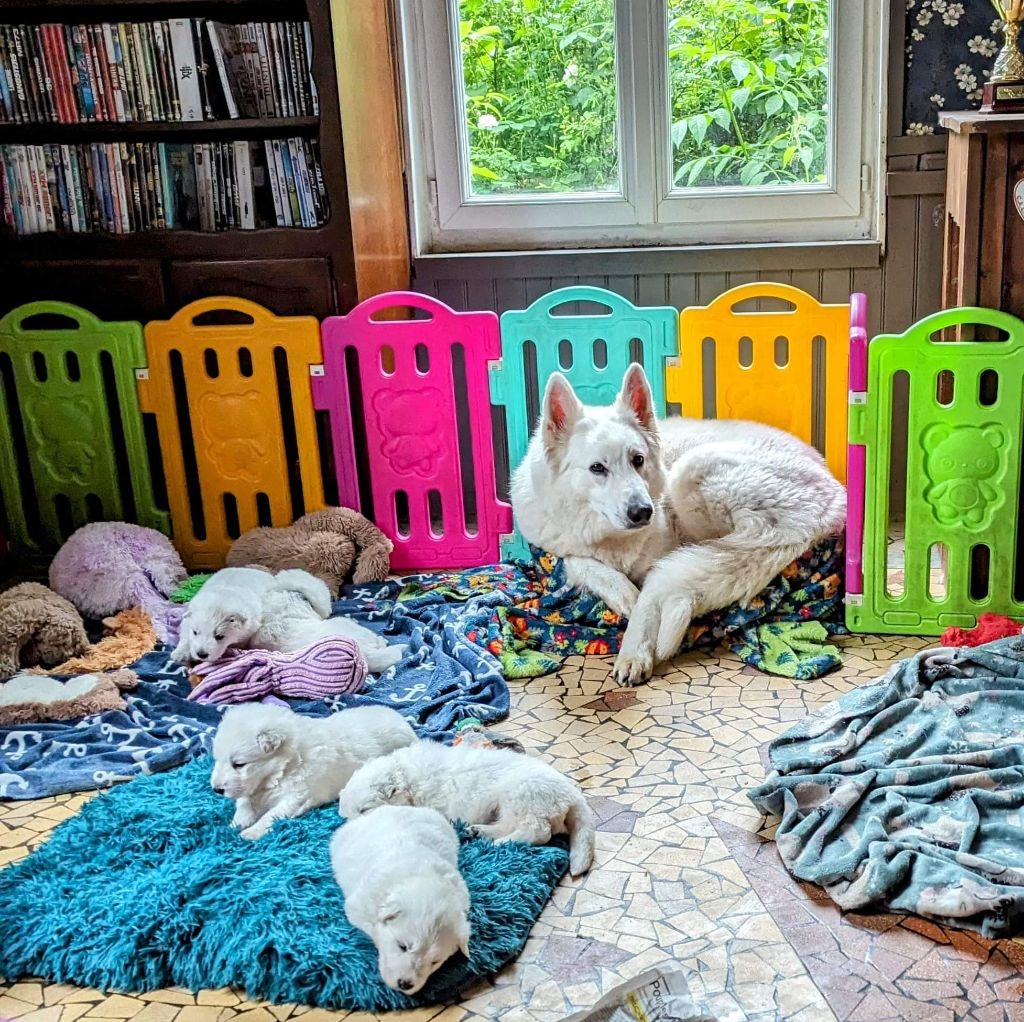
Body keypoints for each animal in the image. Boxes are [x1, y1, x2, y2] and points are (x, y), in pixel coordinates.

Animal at [209, 704, 417, 839]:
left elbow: (272, 814)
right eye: (217, 759)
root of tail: (403, 721)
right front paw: (235, 825)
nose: (216, 790)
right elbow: (244, 803)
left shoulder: (298, 795)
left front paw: (249, 833)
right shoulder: (252, 790)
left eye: (239, 764)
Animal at [329, 802, 468, 995]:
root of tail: (394, 806)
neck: (421, 878)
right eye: (403, 946)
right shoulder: (358, 905)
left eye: (435, 961)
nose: (405, 984)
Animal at [339, 741, 598, 876]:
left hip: (521, 797)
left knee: (538, 831)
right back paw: (478, 832)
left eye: (364, 810)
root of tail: (573, 794)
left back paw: (499, 843)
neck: (406, 777)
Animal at [512, 362, 847, 688]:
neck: (612, 538)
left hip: (689, 472)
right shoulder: (553, 547)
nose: (643, 512)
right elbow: (579, 561)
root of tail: (834, 496)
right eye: (597, 468)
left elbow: (648, 600)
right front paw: (621, 591)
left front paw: (634, 651)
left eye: (638, 460)